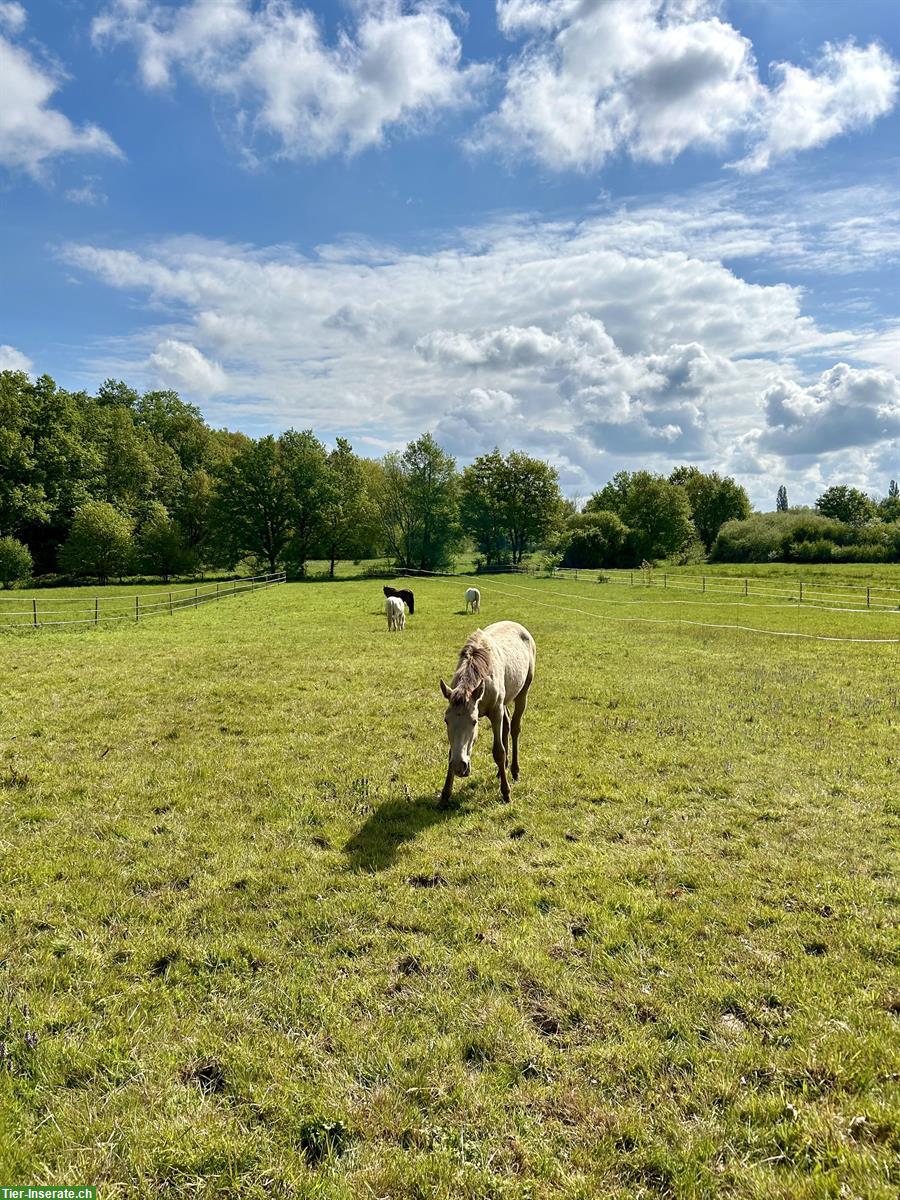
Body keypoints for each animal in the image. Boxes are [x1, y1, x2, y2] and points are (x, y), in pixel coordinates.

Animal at [441, 619, 535, 806]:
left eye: (474, 722)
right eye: (446, 721)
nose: (459, 766)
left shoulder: (496, 711)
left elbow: (498, 752)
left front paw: (506, 793)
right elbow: (450, 752)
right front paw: (445, 795)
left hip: (523, 693)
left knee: (514, 728)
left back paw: (514, 771)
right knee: (507, 726)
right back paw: (502, 770)